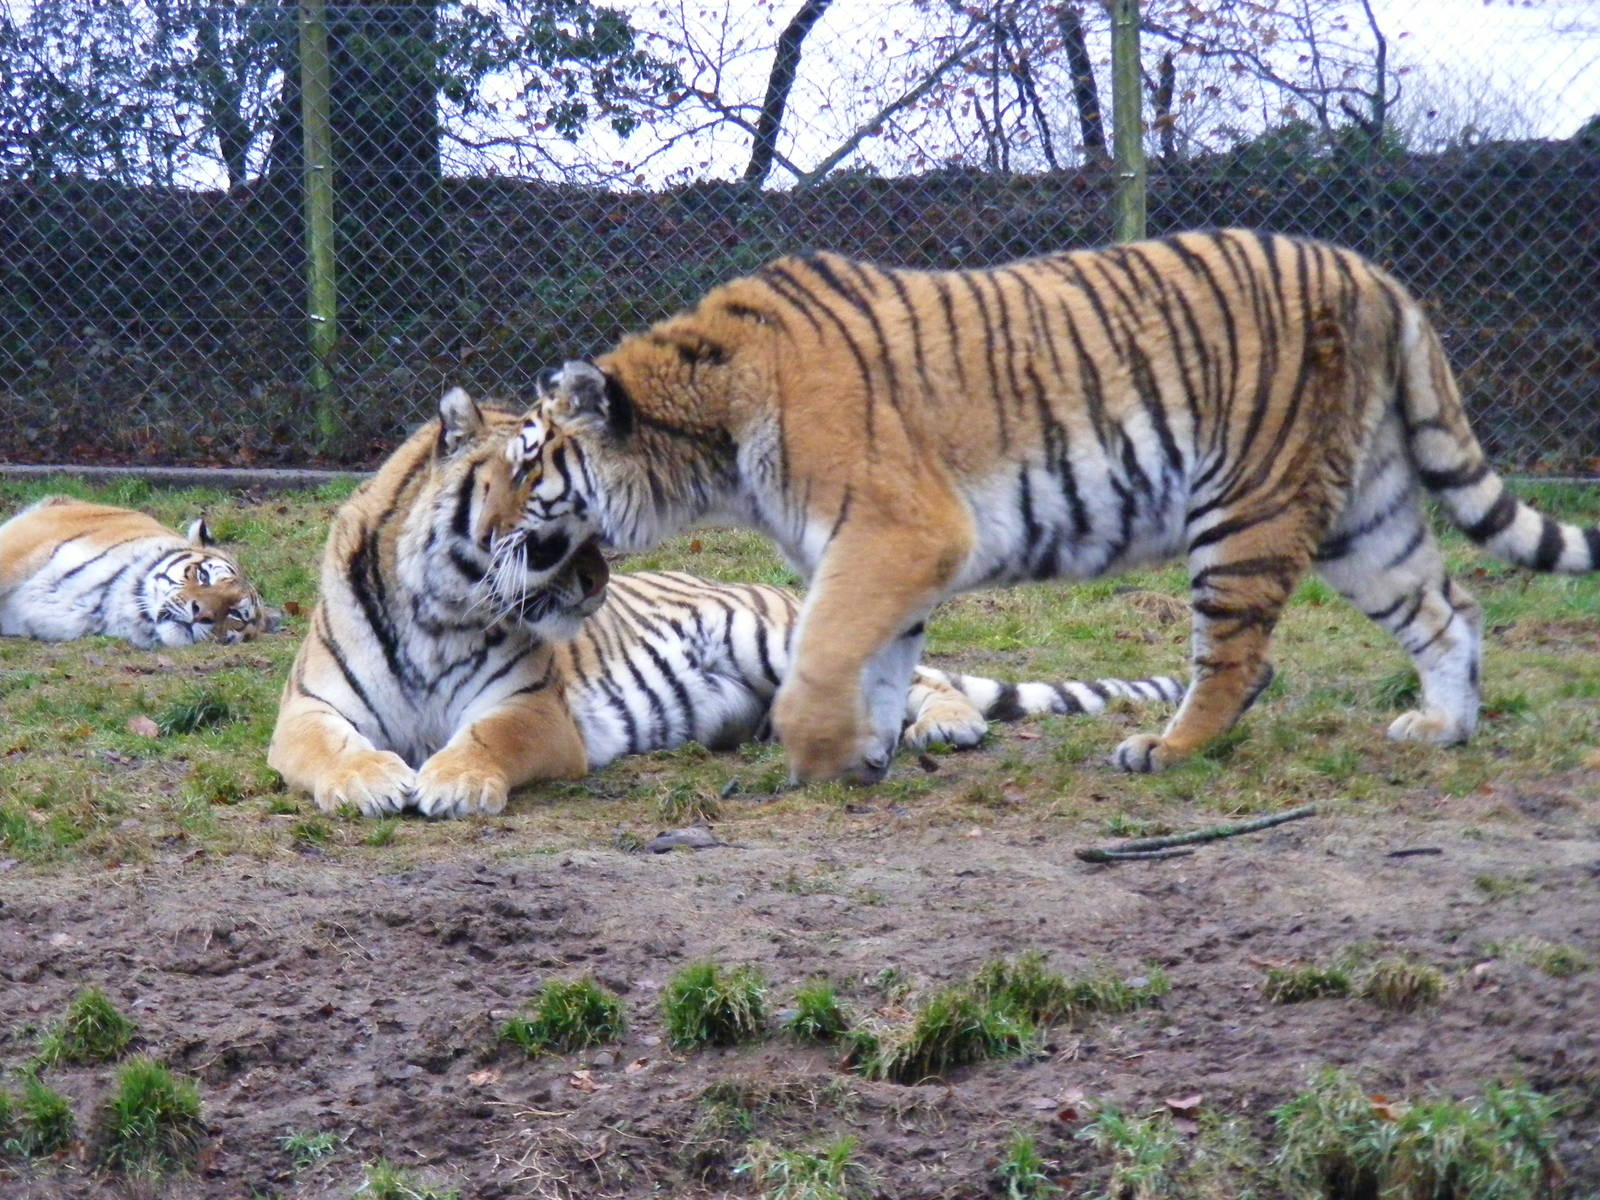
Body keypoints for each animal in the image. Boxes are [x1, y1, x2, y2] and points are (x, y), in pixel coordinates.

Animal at [266, 388, 1183, 818]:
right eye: (558, 515)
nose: (599, 582)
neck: (440, 610)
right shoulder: (307, 710)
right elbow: (331, 750)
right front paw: (374, 783)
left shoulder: (533, 708)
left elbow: (486, 737)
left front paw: (453, 783)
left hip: (775, 636)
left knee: (921, 679)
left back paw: (944, 725)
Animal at [517, 228, 1600, 785]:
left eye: (524, 462)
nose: (487, 530)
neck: (707, 447)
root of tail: (1376, 274)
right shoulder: (885, 554)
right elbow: (884, 663)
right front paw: (867, 755)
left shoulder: (895, 532)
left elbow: (824, 656)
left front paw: (817, 757)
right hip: (1361, 513)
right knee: (1448, 611)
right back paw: (1443, 730)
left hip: (1246, 503)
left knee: (1239, 655)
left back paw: (1167, 748)